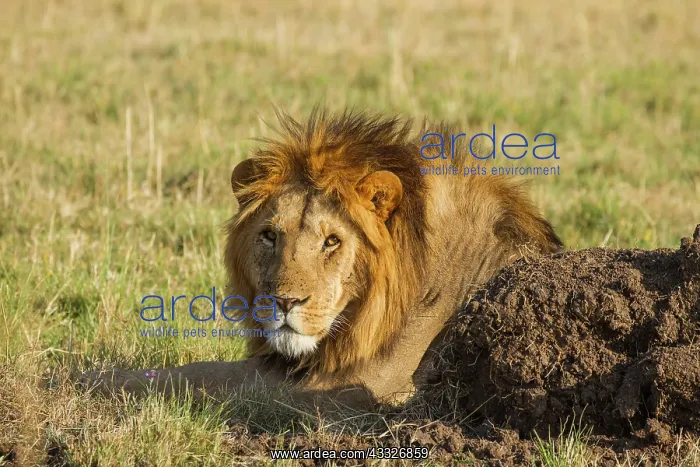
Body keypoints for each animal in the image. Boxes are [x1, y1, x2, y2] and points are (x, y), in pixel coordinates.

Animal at [83, 107, 563, 409]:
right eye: (269, 236)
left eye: (332, 241)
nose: (285, 303)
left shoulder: (363, 384)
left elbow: (208, 376)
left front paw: (95, 380)